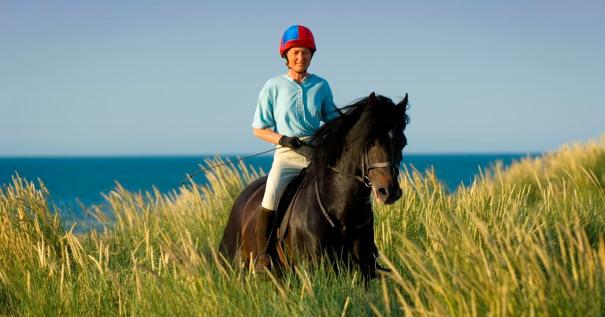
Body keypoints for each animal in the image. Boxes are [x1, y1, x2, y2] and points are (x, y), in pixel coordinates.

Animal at [219, 91, 408, 278]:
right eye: (370, 142)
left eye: (402, 142)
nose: (389, 191)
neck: (342, 213)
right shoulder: (314, 269)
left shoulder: (364, 270)